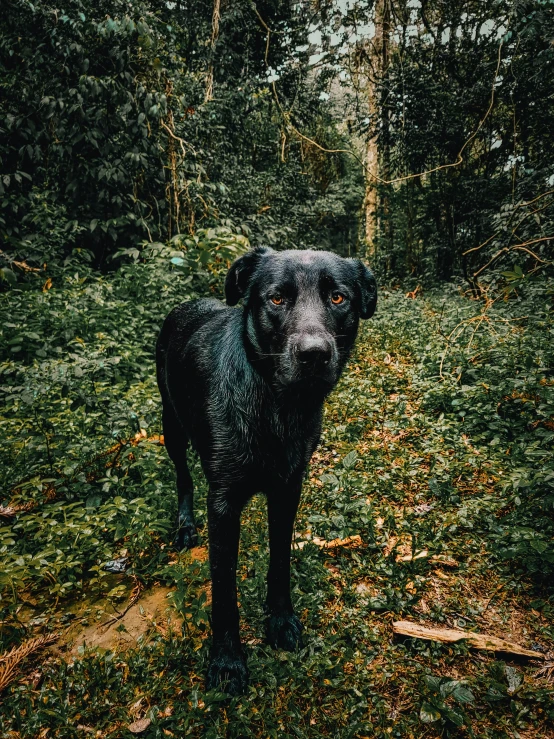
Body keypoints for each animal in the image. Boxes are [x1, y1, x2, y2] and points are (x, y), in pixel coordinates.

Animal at [157, 247, 378, 692]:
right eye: (276, 298)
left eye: (338, 298)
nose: (314, 354)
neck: (277, 408)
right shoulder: (223, 503)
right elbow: (224, 590)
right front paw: (227, 661)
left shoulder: (288, 488)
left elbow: (280, 561)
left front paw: (280, 621)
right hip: (171, 425)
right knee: (183, 476)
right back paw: (185, 526)